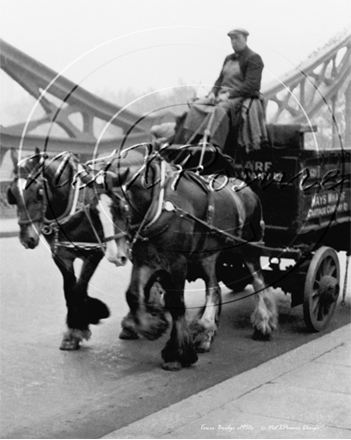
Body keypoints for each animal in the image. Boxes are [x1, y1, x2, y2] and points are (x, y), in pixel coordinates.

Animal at [6, 150, 131, 350]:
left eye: (39, 192)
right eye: (13, 193)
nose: (27, 239)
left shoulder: (94, 253)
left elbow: (79, 288)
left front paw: (81, 324)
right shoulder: (61, 254)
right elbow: (69, 289)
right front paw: (75, 330)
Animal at [94, 145, 280, 372]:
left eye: (120, 208)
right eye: (95, 211)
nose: (114, 256)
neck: (159, 206)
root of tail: (247, 188)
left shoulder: (177, 263)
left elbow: (176, 303)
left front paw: (177, 354)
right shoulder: (145, 260)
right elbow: (133, 294)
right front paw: (151, 327)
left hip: (248, 249)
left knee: (258, 281)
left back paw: (264, 325)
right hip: (207, 256)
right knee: (214, 289)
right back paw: (205, 332)